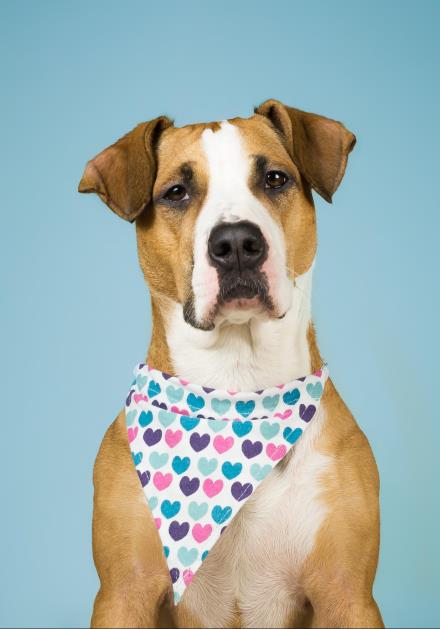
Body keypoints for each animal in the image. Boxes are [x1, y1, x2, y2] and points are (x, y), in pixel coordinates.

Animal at [78, 99, 383, 628]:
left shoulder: (347, 594)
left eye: (275, 179)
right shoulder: (123, 593)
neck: (236, 388)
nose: (237, 242)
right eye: (176, 192)